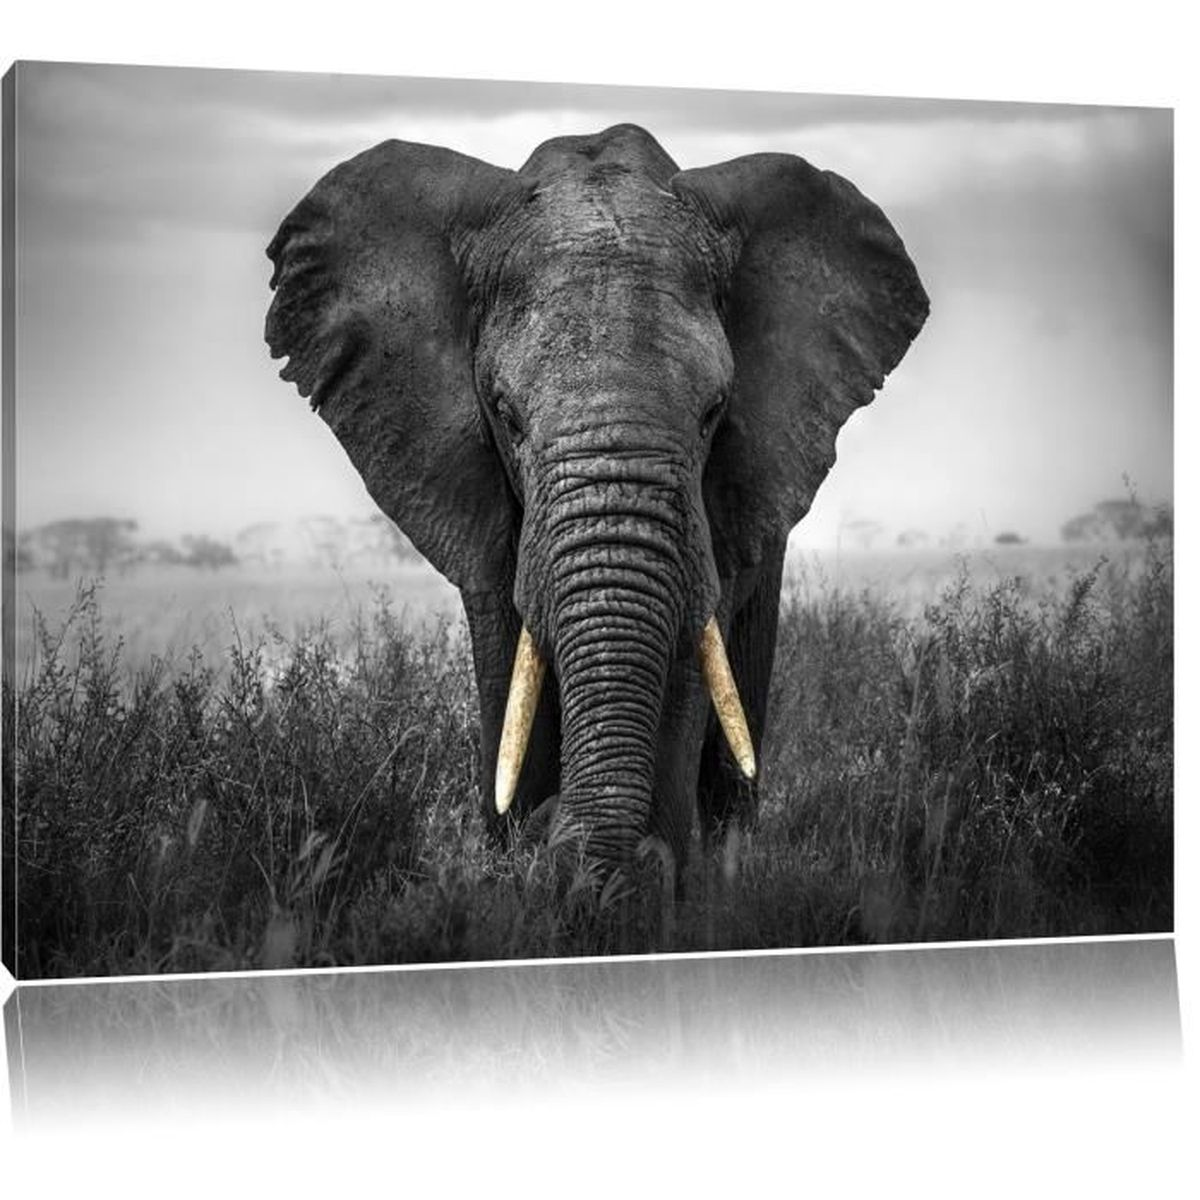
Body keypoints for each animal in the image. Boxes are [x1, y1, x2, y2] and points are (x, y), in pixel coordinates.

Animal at [265, 123, 928, 881]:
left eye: (714, 412)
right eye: (506, 416)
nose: (558, 836)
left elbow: (686, 652)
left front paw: (634, 880)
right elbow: (508, 649)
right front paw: (522, 859)